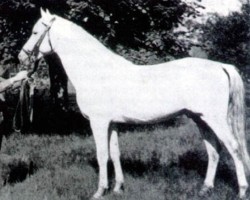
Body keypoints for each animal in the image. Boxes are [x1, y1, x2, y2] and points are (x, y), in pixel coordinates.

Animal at [18, 8, 250, 199]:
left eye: (36, 33)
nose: (21, 57)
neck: (96, 71)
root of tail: (221, 66)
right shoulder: (112, 123)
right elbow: (114, 153)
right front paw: (118, 187)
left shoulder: (99, 122)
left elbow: (102, 154)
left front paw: (100, 191)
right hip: (200, 118)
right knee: (214, 149)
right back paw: (206, 188)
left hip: (215, 119)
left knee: (234, 148)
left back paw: (241, 190)